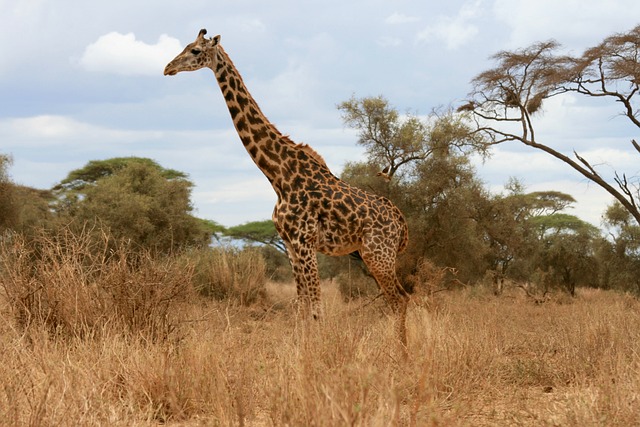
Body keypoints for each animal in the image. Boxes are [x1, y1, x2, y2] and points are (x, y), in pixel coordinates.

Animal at [165, 29, 410, 348]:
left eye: (194, 50)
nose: (168, 68)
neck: (278, 176)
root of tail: (402, 225)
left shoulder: (305, 241)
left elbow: (316, 307)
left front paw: (320, 351)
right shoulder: (291, 245)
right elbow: (301, 307)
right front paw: (304, 349)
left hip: (378, 253)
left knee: (399, 300)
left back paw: (401, 351)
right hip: (377, 255)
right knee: (399, 299)